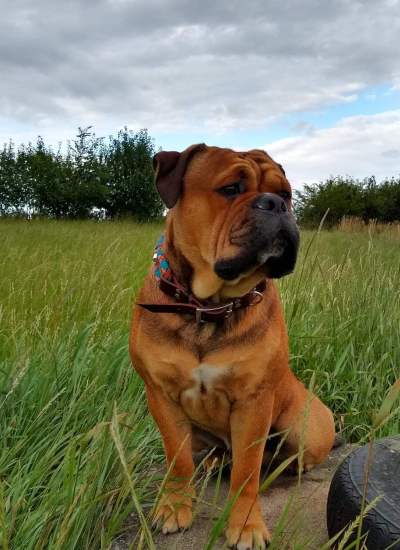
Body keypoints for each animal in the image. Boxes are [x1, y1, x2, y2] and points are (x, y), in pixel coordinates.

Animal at [129, 144, 335, 549]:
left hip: (308, 427)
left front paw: (245, 525)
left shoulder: (253, 402)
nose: (276, 203)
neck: (207, 306)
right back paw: (211, 462)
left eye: (286, 193)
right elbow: (178, 460)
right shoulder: (161, 396)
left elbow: (246, 473)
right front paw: (174, 507)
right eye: (230, 188)